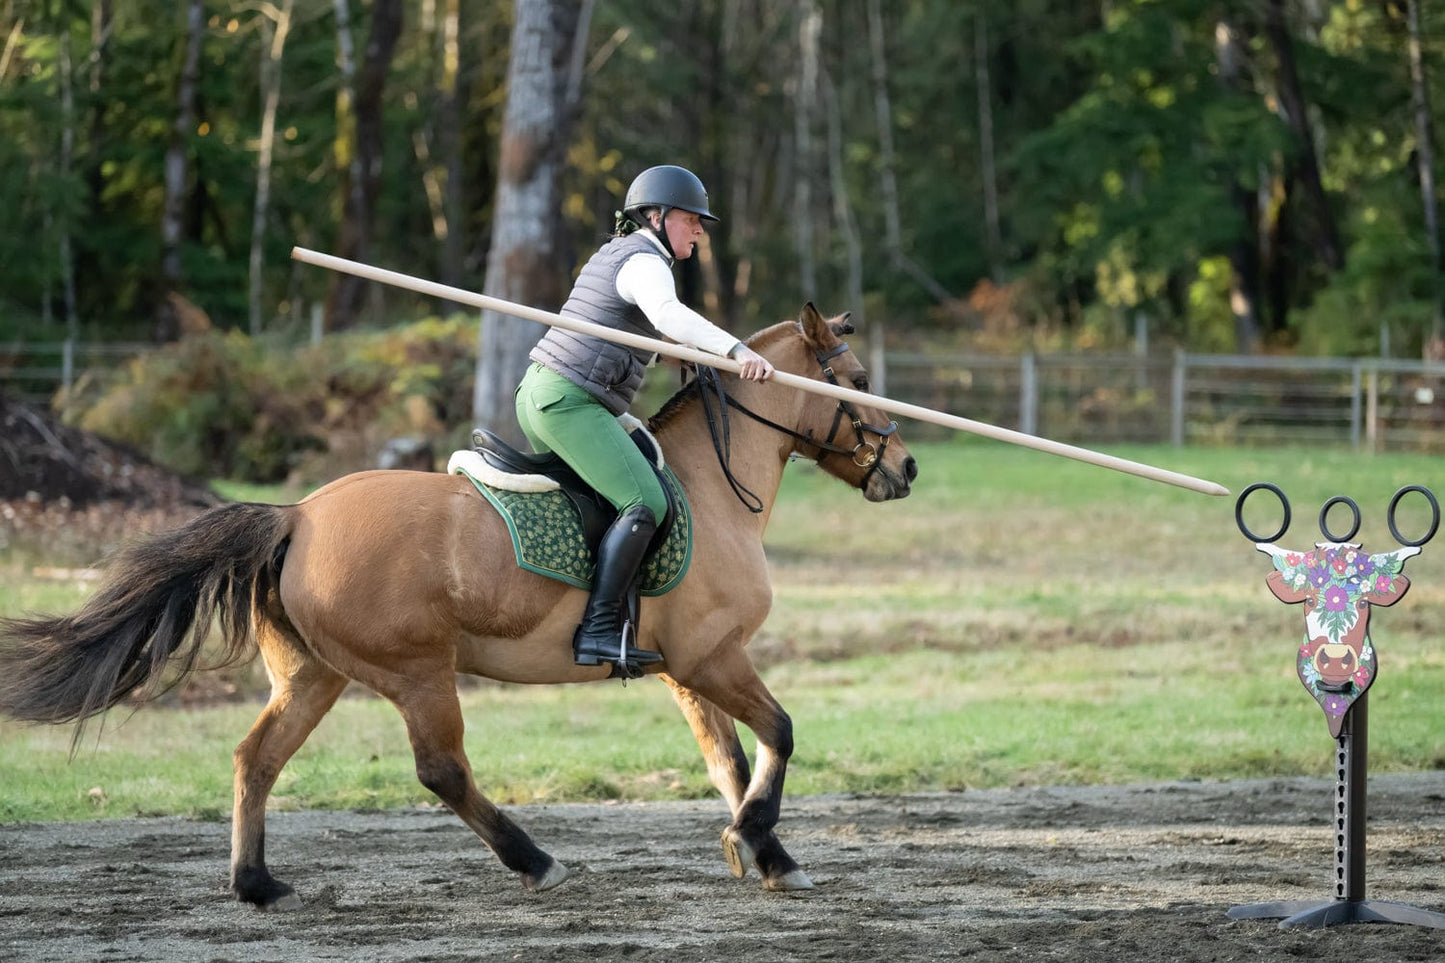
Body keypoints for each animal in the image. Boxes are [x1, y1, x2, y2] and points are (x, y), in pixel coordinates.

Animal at [0, 303, 919, 902]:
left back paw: (257, 883)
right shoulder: (713, 657)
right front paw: (761, 842)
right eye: (857, 379)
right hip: (417, 672)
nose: (905, 468)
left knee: (255, 757)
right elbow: (779, 734)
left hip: (314, 675)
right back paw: (534, 859)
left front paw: (764, 852)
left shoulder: (687, 669)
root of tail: (297, 514)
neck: (710, 486)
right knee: (440, 769)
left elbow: (729, 760)